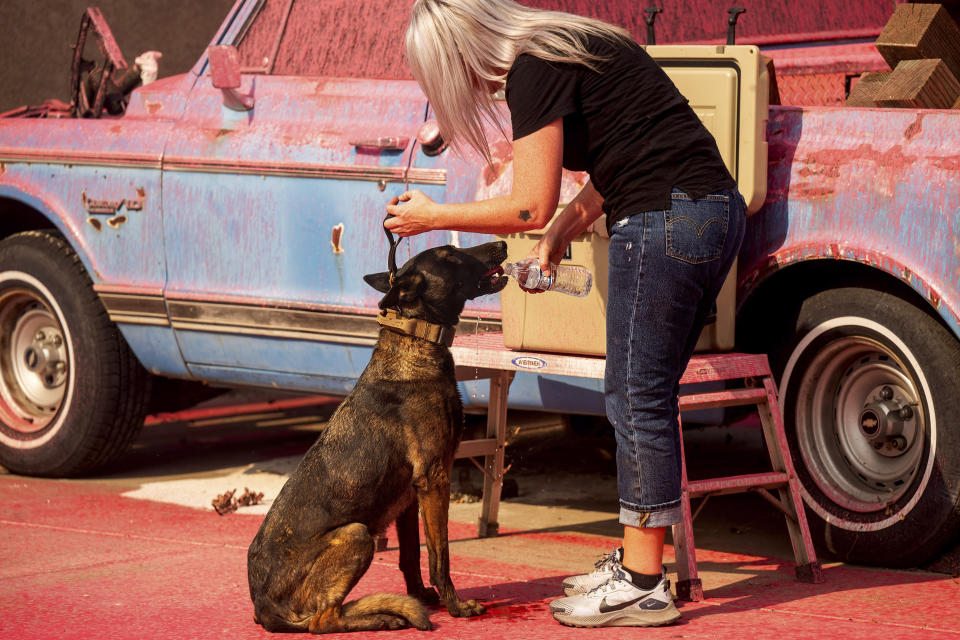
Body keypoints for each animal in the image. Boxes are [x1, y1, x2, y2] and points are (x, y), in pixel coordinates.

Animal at [248, 241, 510, 636]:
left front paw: (423, 597)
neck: (414, 340)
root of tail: (263, 609)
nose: (503, 244)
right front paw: (455, 606)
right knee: (322, 620)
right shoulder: (435, 479)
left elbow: (411, 555)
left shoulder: (410, 495)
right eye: (449, 254)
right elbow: (440, 557)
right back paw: (382, 617)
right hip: (356, 534)